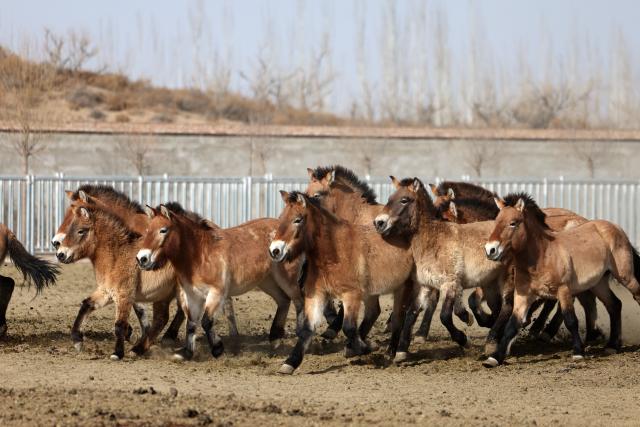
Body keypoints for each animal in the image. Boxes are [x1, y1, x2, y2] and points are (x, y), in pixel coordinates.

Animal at [136, 203, 305, 361]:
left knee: (299, 301)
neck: (201, 254)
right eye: (147, 230)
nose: (142, 259)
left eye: (163, 230)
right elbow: (191, 323)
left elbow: (206, 321)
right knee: (284, 300)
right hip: (267, 281)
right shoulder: (192, 295)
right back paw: (275, 340)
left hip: (287, 279)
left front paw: (217, 349)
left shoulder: (216, 293)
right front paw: (186, 353)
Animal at [269, 191, 415, 374]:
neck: (334, 252)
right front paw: (290, 363)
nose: (275, 250)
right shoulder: (316, 296)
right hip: (371, 293)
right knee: (374, 312)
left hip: (403, 287)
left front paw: (367, 347)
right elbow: (307, 329)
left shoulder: (350, 295)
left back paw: (393, 352)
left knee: (399, 317)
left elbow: (349, 327)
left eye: (298, 219)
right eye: (281, 217)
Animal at [374, 177, 508, 362]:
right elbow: (411, 313)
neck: (433, 239)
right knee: (498, 309)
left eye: (404, 200)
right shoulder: (425, 285)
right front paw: (401, 351)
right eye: (389, 198)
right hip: (490, 285)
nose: (378, 223)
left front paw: (463, 339)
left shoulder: (449, 284)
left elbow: (444, 316)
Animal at [483, 193, 640, 367]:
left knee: (636, 295)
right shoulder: (523, 296)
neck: (542, 256)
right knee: (614, 305)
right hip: (598, 284)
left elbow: (570, 319)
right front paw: (494, 358)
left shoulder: (563, 290)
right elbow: (512, 325)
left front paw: (578, 352)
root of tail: (616, 228)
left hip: (626, 277)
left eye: (513, 223)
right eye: (496, 221)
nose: (490, 250)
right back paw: (612, 346)